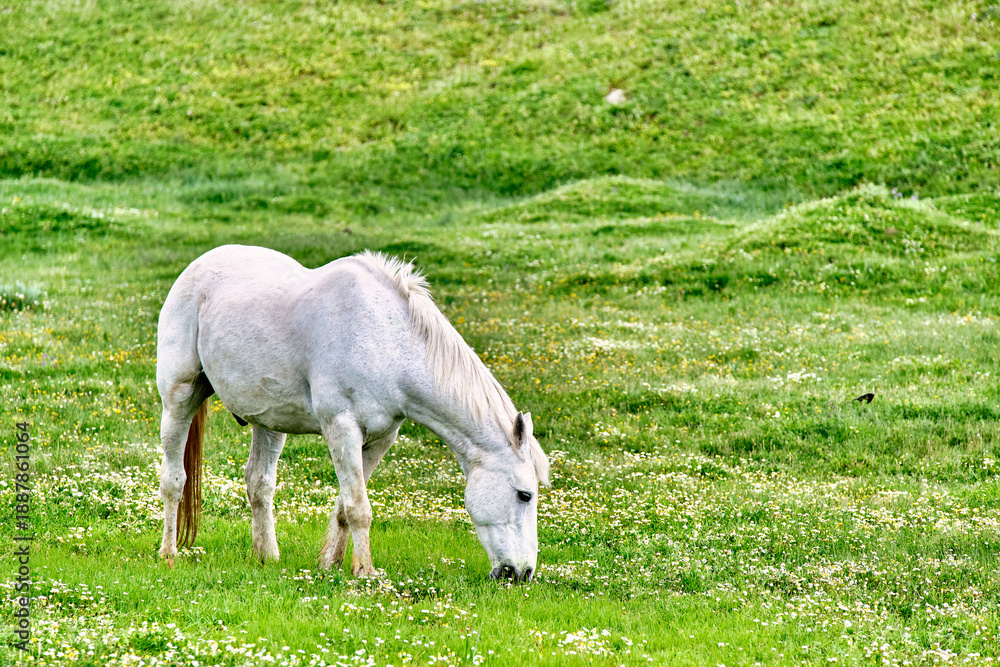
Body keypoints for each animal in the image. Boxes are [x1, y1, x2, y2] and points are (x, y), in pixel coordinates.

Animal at [155, 245, 549, 582]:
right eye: (524, 495)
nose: (522, 573)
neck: (386, 340)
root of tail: (198, 266)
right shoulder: (341, 428)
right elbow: (359, 507)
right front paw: (367, 574)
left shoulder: (380, 438)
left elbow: (345, 507)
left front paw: (333, 564)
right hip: (179, 398)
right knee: (174, 481)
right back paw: (169, 553)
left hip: (269, 422)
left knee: (259, 484)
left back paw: (267, 557)